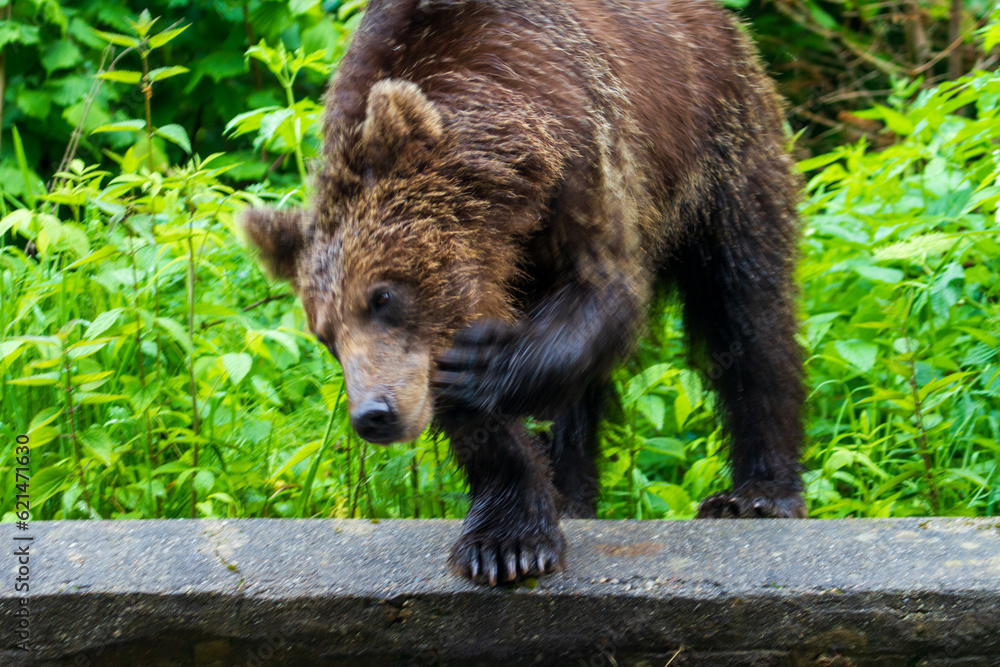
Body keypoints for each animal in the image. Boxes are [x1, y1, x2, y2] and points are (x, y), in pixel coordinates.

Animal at [242, 0, 806, 586]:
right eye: (325, 334)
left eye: (383, 297)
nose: (374, 413)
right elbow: (482, 422)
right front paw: (508, 541)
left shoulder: (586, 153)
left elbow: (601, 289)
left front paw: (482, 366)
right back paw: (571, 495)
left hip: (722, 147)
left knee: (746, 308)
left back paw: (758, 493)